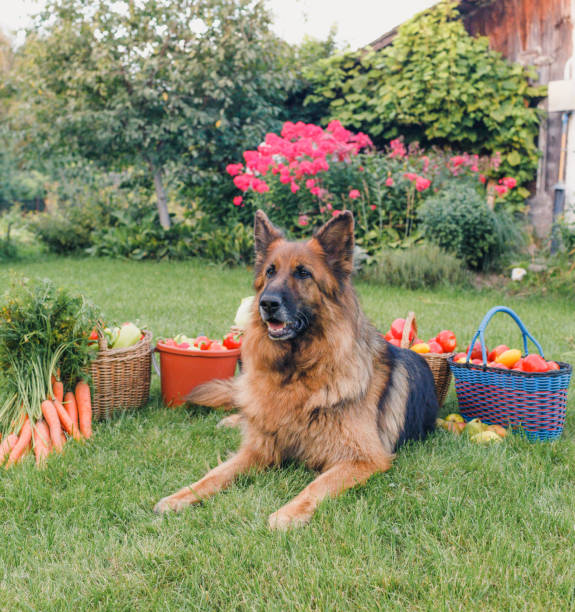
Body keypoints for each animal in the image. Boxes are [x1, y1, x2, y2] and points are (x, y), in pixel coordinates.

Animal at [155, 209, 438, 524]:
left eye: (303, 273)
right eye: (270, 272)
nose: (267, 303)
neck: (295, 373)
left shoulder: (363, 458)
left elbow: (318, 485)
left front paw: (287, 514)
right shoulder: (259, 449)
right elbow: (214, 474)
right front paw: (180, 496)